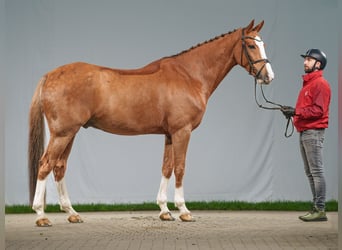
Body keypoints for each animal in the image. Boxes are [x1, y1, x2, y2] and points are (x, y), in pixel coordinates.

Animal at [29, 20, 276, 227]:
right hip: (62, 134)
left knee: (59, 167)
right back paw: (41, 215)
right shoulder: (182, 132)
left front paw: (165, 211)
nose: (269, 77)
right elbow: (180, 168)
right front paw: (184, 211)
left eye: (263, 44)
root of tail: (50, 75)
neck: (189, 75)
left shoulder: (169, 134)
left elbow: (166, 167)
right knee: (45, 165)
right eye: (251, 46)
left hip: (70, 133)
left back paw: (72, 213)